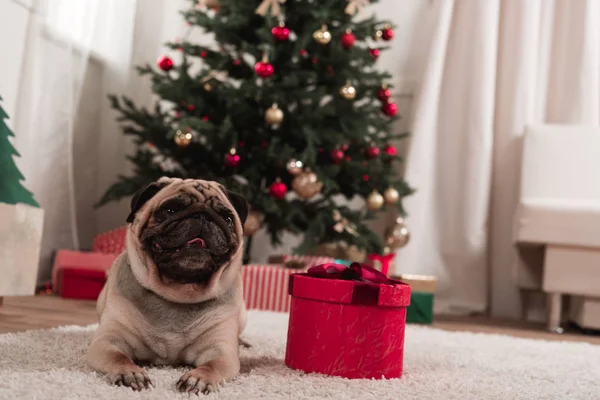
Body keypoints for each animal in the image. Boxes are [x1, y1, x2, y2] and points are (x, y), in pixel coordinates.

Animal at [86, 177, 248, 394]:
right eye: (170, 210)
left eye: (227, 219)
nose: (202, 215)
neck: (179, 292)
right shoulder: (109, 340)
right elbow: (119, 358)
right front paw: (131, 373)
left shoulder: (221, 350)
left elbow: (212, 366)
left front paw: (198, 379)